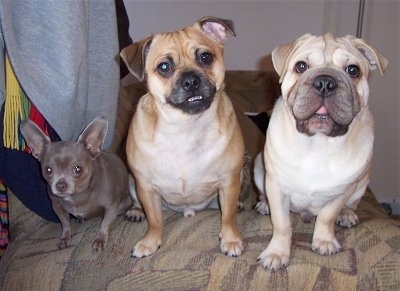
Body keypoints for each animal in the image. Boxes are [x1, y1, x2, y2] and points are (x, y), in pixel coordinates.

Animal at [119, 16, 244, 258]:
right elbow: (155, 221)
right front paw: (150, 243)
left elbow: (228, 216)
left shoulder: (229, 181)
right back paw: (136, 211)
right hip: (131, 182)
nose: (190, 80)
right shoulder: (146, 187)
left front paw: (230, 239)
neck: (186, 127)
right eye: (164, 67)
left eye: (205, 57)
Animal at [253, 33, 388, 272]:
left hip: (361, 184)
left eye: (353, 70)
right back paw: (263, 204)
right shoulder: (276, 186)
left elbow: (327, 216)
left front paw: (323, 241)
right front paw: (277, 253)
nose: (325, 82)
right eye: (301, 66)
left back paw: (347, 215)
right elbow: (282, 224)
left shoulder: (342, 191)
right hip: (259, 168)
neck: (319, 142)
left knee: (351, 205)